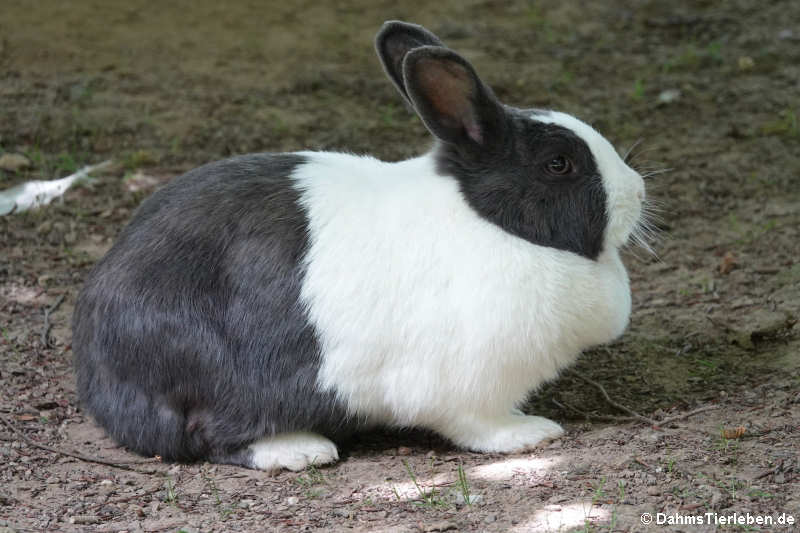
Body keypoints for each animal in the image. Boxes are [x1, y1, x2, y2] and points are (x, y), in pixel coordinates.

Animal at [72, 21, 645, 472]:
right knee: (209, 435)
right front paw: (530, 433)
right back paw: (300, 450)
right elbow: (479, 425)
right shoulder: (469, 383)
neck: (491, 222)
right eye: (558, 164)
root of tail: (95, 374)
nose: (638, 191)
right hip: (219, 375)